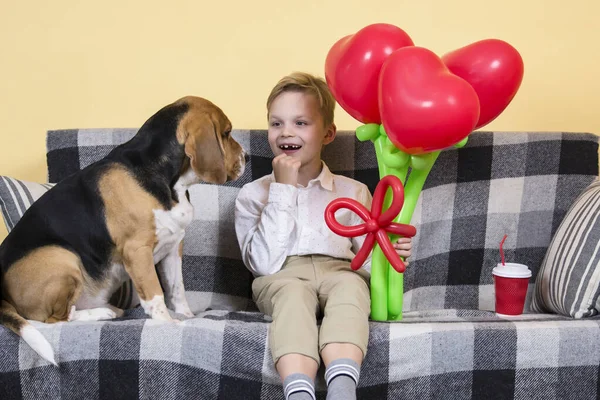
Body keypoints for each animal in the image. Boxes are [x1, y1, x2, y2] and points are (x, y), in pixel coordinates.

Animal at [0, 95, 246, 364]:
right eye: (226, 133)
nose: (245, 156)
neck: (169, 181)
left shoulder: (174, 246)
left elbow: (177, 289)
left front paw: (186, 316)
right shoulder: (137, 251)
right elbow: (155, 294)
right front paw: (167, 323)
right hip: (62, 256)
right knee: (54, 319)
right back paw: (104, 313)